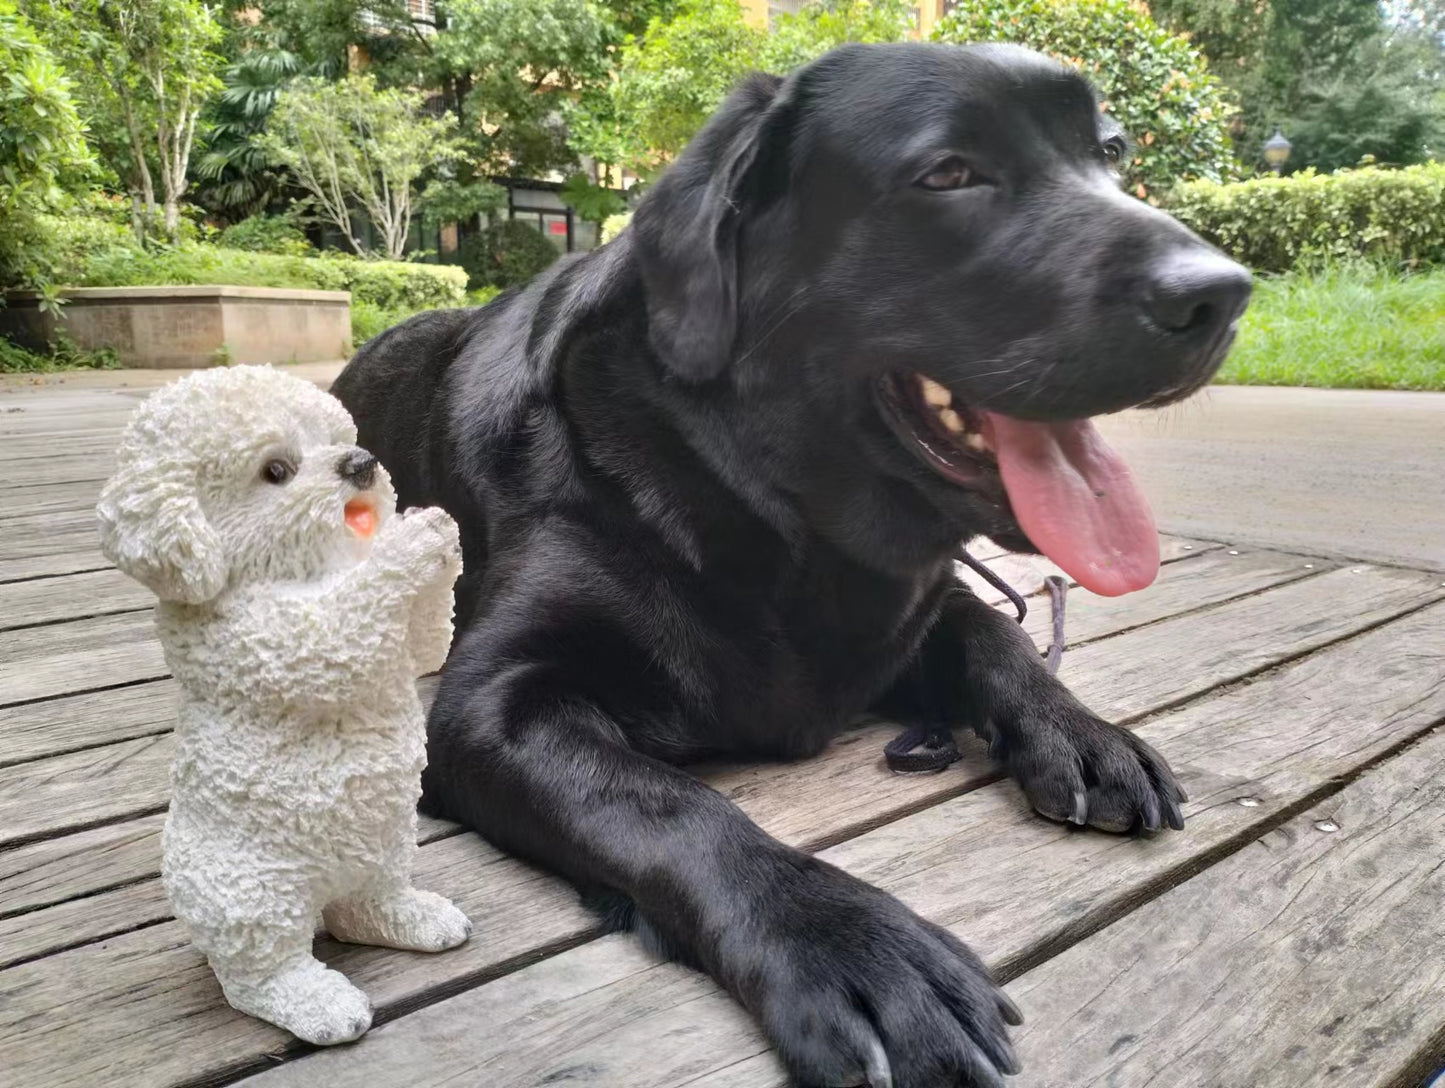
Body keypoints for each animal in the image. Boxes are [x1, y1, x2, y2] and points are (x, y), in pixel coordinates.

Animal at [332, 42, 1248, 1086]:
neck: (768, 514)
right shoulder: (490, 702)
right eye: (949, 174)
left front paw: (1081, 730)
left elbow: (995, 635)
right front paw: (849, 944)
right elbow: (666, 805)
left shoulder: (920, 602)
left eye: (1111, 152)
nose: (1222, 291)